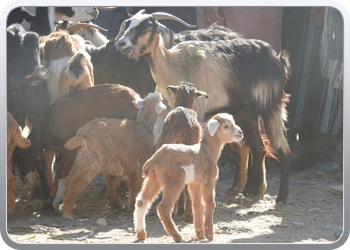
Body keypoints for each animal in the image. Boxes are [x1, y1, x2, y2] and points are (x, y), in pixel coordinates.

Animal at [115, 10, 292, 204]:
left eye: (147, 28)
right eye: (128, 24)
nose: (121, 44)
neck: (175, 65)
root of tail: (278, 58)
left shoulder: (198, 109)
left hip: (271, 106)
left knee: (282, 148)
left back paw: (281, 197)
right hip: (247, 113)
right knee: (258, 148)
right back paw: (250, 191)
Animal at [134, 113, 243, 242]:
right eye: (226, 126)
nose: (241, 132)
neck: (208, 150)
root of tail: (154, 159)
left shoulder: (194, 183)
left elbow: (197, 204)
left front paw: (200, 233)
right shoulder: (208, 180)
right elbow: (210, 203)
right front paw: (209, 234)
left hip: (154, 178)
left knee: (141, 202)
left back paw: (141, 233)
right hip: (174, 179)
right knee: (163, 207)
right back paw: (177, 236)